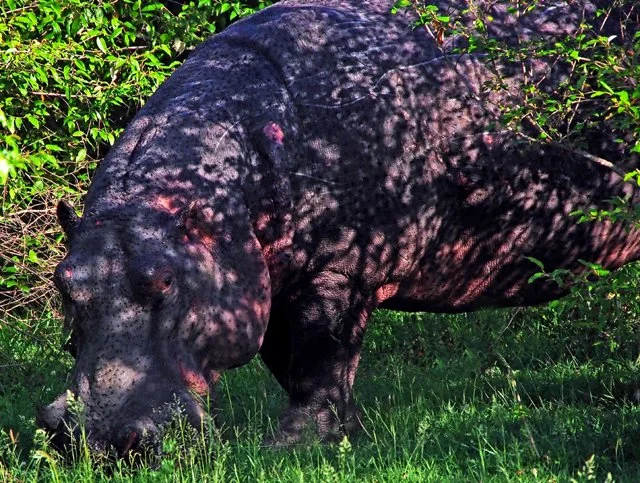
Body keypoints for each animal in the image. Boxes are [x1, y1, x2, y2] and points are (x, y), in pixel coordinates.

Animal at [39, 0, 640, 455]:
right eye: (64, 283)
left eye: (163, 281)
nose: (98, 439)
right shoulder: (269, 277)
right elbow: (294, 363)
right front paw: (348, 436)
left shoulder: (338, 270)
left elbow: (318, 357)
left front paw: (291, 447)